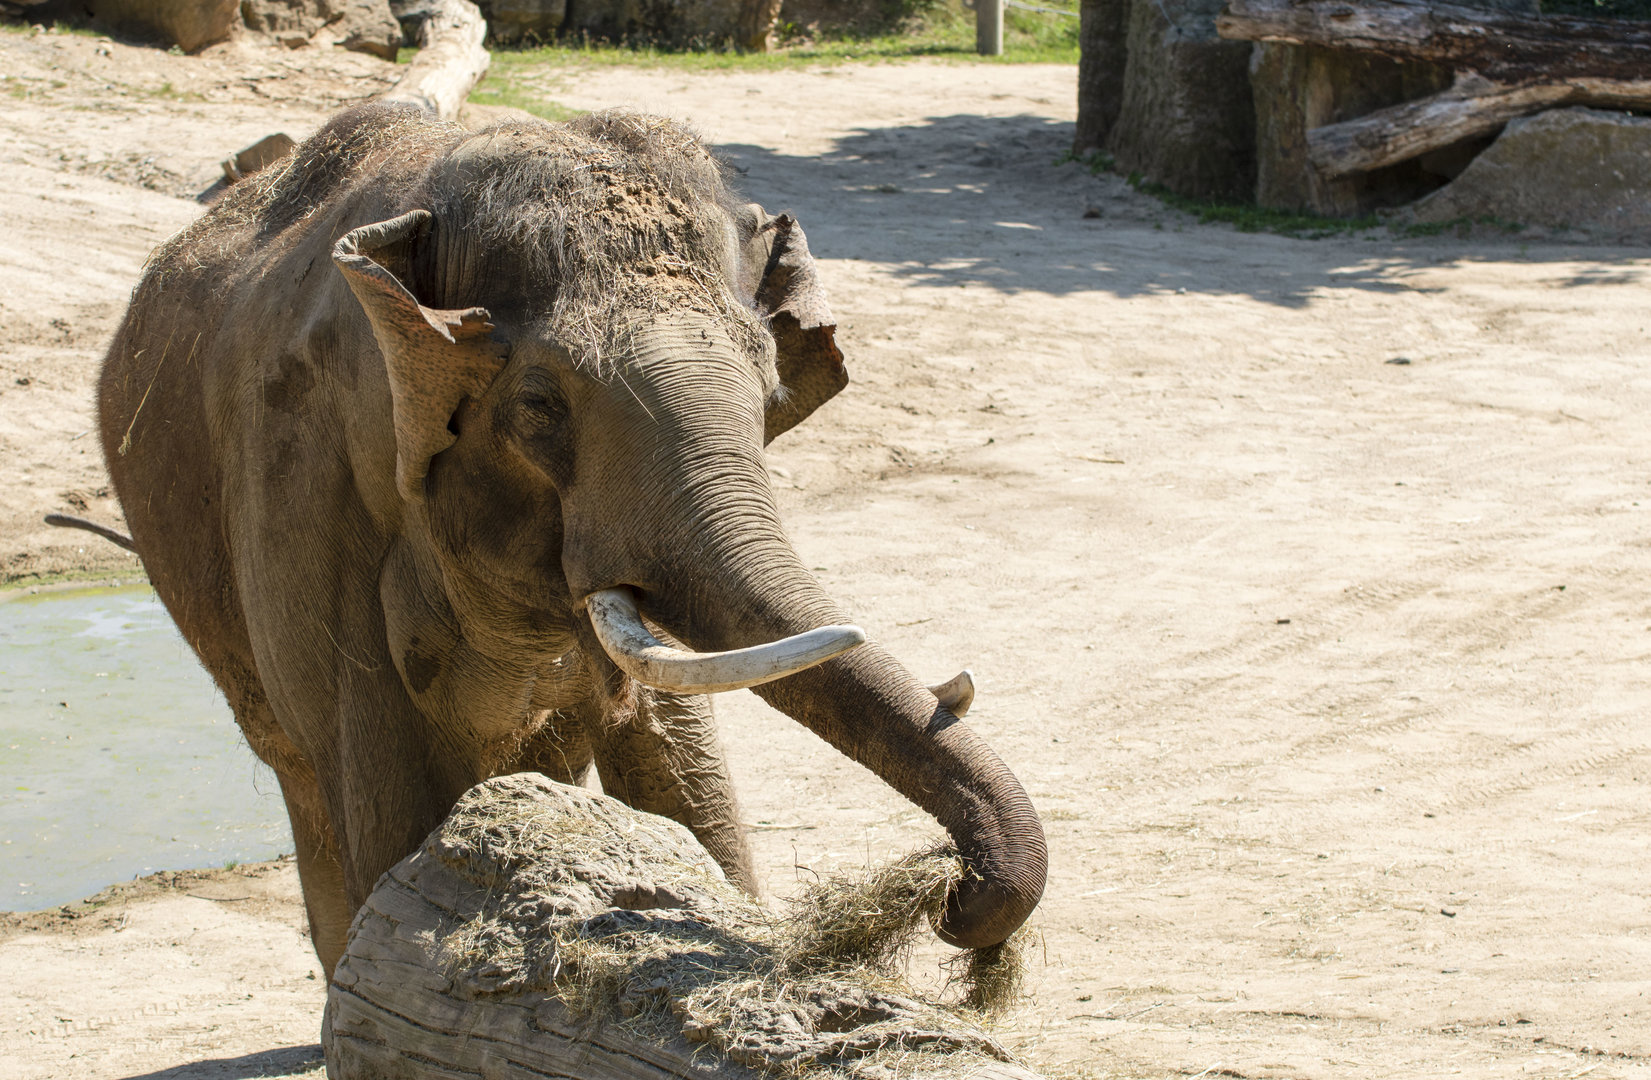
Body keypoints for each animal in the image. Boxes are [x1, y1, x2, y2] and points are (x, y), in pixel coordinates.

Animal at [97, 103, 1046, 978]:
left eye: (769, 388)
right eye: (538, 406)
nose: (955, 898)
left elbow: (680, 770)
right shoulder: (306, 487)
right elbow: (385, 799)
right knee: (309, 787)